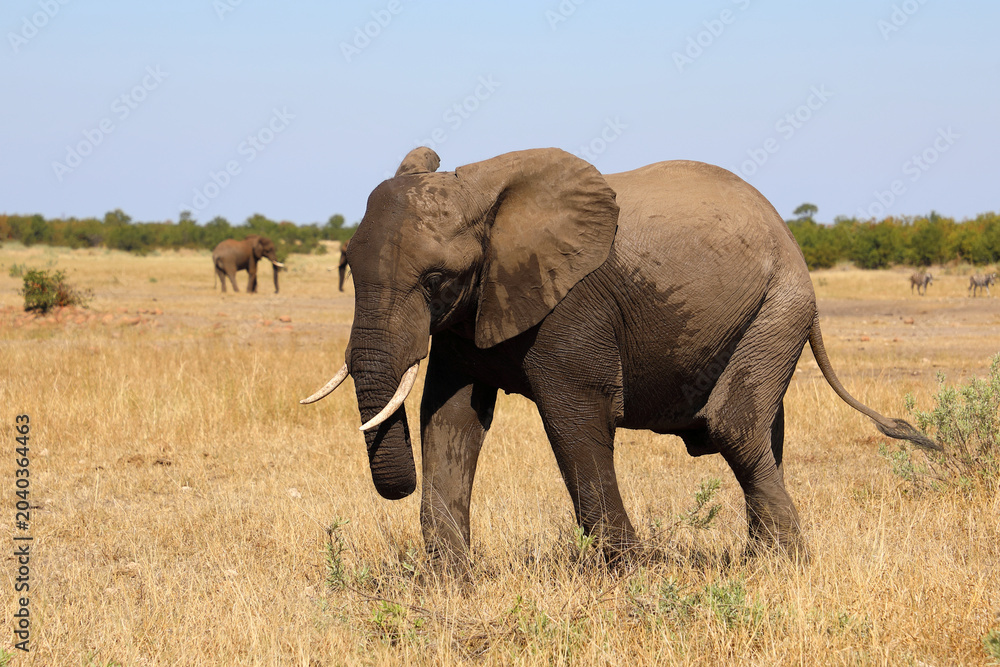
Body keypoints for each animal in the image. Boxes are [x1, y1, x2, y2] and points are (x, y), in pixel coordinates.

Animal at [301, 147, 937, 570]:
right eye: (349, 266)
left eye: (436, 279)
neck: (479, 188)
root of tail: (790, 237)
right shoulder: (473, 310)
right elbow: (450, 419)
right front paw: (452, 582)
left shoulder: (572, 301)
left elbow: (574, 418)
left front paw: (632, 573)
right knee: (761, 430)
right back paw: (762, 559)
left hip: (779, 308)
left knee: (733, 424)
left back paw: (784, 565)